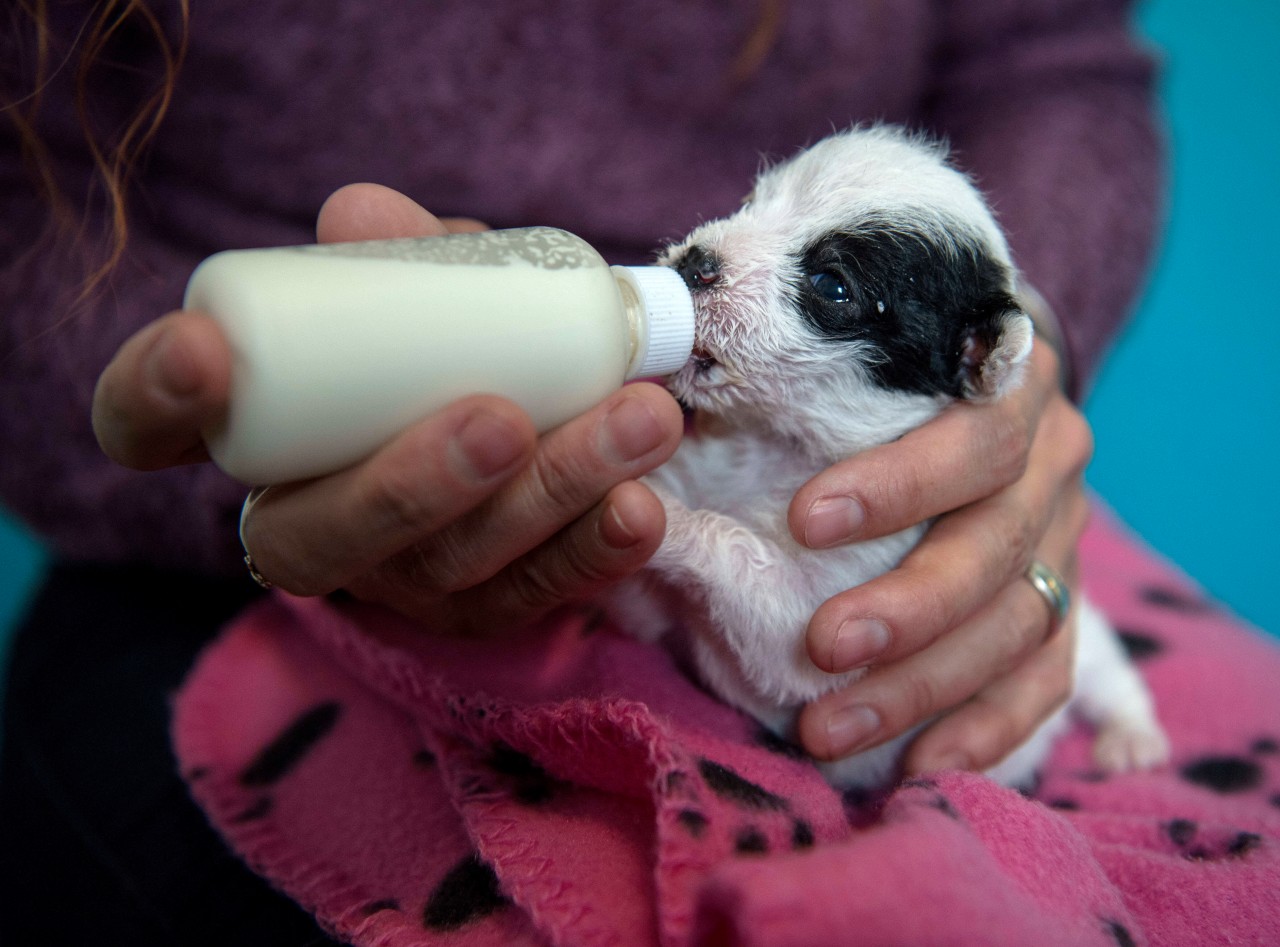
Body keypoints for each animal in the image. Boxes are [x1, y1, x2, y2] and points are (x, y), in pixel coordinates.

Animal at [609, 126, 1172, 793]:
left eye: (833, 286)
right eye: (752, 202)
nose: (697, 261)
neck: (775, 445)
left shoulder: (821, 629)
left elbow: (734, 551)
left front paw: (660, 514)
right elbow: (645, 605)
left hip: (1086, 645)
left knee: (1114, 679)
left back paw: (1133, 739)